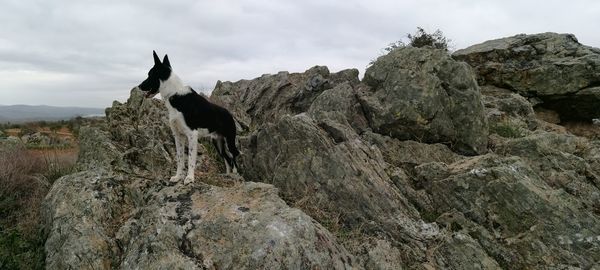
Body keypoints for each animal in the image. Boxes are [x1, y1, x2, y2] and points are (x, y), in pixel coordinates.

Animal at [137, 50, 238, 184]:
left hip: (229, 140)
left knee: (234, 156)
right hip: (217, 142)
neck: (174, 94)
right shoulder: (178, 135)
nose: (139, 86)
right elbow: (180, 159)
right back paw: (227, 175)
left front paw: (189, 178)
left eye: (150, 75)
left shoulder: (192, 135)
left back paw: (236, 175)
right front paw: (178, 176)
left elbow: (190, 159)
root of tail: (229, 114)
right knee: (227, 158)